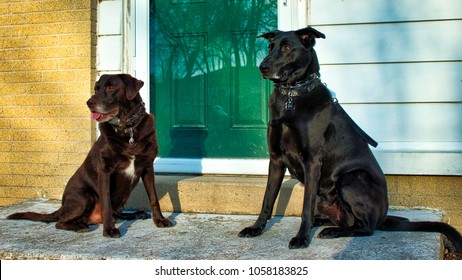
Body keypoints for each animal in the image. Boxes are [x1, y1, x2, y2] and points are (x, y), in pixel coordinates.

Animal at [7, 74, 173, 236]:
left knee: (114, 213)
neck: (128, 129)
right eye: (96, 88)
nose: (89, 103)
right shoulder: (105, 170)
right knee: (60, 222)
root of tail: (61, 208)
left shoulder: (147, 167)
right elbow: (106, 203)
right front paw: (109, 230)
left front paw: (160, 220)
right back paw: (79, 226)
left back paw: (135, 214)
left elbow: (154, 198)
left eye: (111, 87)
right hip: (84, 196)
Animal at [240, 26, 462, 252]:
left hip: (351, 178)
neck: (291, 97)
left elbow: (304, 207)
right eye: (270, 47)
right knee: (345, 220)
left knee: (366, 227)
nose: (262, 67)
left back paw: (331, 231)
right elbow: (267, 200)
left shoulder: (312, 162)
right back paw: (322, 223)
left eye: (287, 47)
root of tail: (382, 216)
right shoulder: (276, 160)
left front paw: (302, 238)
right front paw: (256, 228)